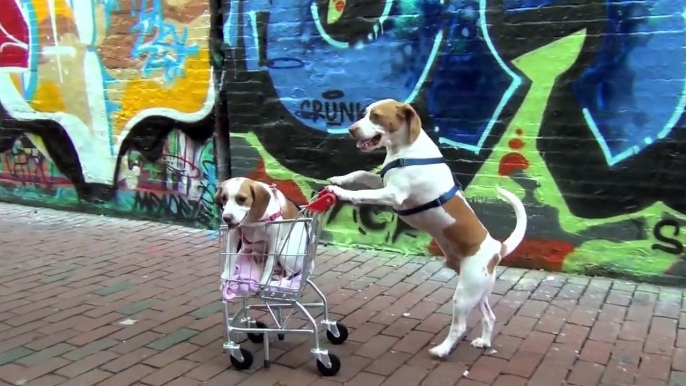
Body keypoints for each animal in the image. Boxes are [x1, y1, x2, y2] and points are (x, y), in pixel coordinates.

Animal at [326, 98, 528, 358]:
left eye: (376, 116)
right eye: (365, 113)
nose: (351, 130)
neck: (405, 150)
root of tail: (497, 248)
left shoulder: (393, 194)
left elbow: (361, 193)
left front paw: (341, 192)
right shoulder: (383, 182)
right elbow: (360, 173)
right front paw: (339, 179)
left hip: (465, 293)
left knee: (460, 326)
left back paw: (442, 350)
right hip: (478, 291)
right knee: (490, 317)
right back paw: (484, 341)